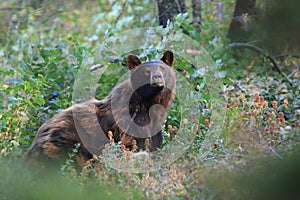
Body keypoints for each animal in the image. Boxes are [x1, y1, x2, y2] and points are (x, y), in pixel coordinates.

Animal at [26, 50, 176, 167]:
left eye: (162, 69)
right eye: (146, 71)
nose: (157, 78)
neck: (149, 104)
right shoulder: (129, 122)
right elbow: (133, 143)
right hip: (66, 141)